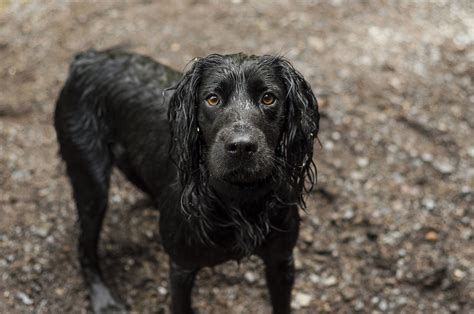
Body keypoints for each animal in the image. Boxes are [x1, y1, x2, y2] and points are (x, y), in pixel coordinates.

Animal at [54, 47, 318, 312]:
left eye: (268, 98)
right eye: (212, 99)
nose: (242, 146)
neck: (239, 198)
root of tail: (87, 57)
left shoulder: (281, 260)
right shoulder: (181, 268)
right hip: (91, 181)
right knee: (85, 249)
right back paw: (103, 300)